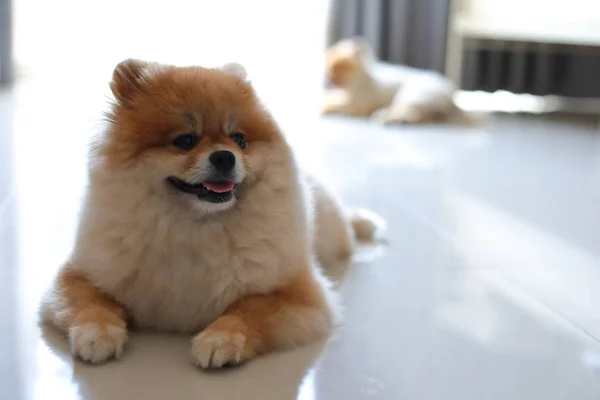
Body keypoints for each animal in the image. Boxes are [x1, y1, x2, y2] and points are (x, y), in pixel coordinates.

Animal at [41, 57, 380, 368]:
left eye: (240, 140)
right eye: (185, 140)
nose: (225, 156)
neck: (195, 225)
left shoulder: (298, 295)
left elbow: (248, 309)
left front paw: (222, 338)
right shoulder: (79, 273)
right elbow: (90, 303)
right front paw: (97, 333)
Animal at [322, 38, 462, 125]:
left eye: (338, 68)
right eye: (328, 67)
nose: (329, 78)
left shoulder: (356, 105)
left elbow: (335, 104)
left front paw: (324, 107)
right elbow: (332, 97)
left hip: (409, 95)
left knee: (412, 114)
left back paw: (385, 117)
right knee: (422, 117)